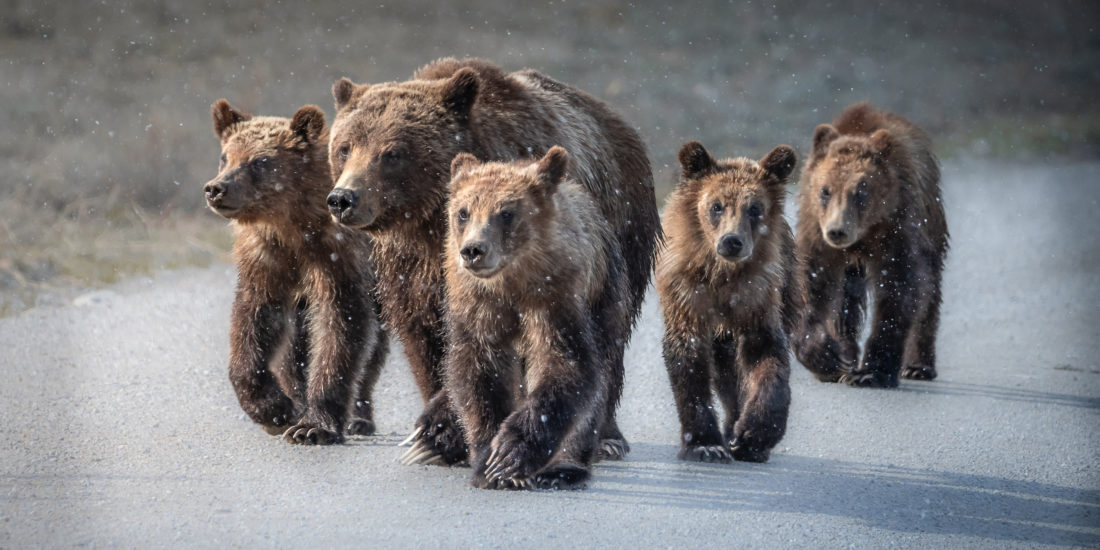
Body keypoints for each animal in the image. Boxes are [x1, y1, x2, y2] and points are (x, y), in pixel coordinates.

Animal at [204, 97, 389, 442]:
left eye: (259, 162)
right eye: (225, 157)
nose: (216, 188)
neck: (292, 224)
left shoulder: (337, 256)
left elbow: (341, 325)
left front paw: (314, 426)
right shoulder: (266, 258)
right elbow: (255, 319)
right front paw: (274, 409)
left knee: (374, 347)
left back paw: (359, 418)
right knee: (294, 348)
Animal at [440, 147, 624, 490]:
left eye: (506, 213)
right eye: (463, 212)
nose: (473, 250)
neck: (511, 281)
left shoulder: (554, 298)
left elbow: (565, 364)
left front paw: (510, 455)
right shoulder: (479, 306)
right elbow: (479, 371)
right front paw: (488, 463)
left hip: (605, 291)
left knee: (601, 374)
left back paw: (565, 467)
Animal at [651, 139, 800, 462]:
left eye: (754, 208)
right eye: (716, 206)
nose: (732, 241)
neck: (722, 276)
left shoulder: (758, 297)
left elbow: (766, 356)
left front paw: (753, 435)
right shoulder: (686, 295)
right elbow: (688, 358)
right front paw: (704, 443)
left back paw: (736, 427)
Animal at [796, 102, 950, 387]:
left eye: (861, 191)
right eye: (825, 190)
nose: (837, 231)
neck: (865, 232)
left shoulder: (897, 229)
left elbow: (898, 289)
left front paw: (873, 371)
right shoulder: (815, 234)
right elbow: (810, 286)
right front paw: (826, 359)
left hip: (932, 227)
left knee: (930, 289)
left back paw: (918, 366)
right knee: (845, 302)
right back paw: (845, 358)